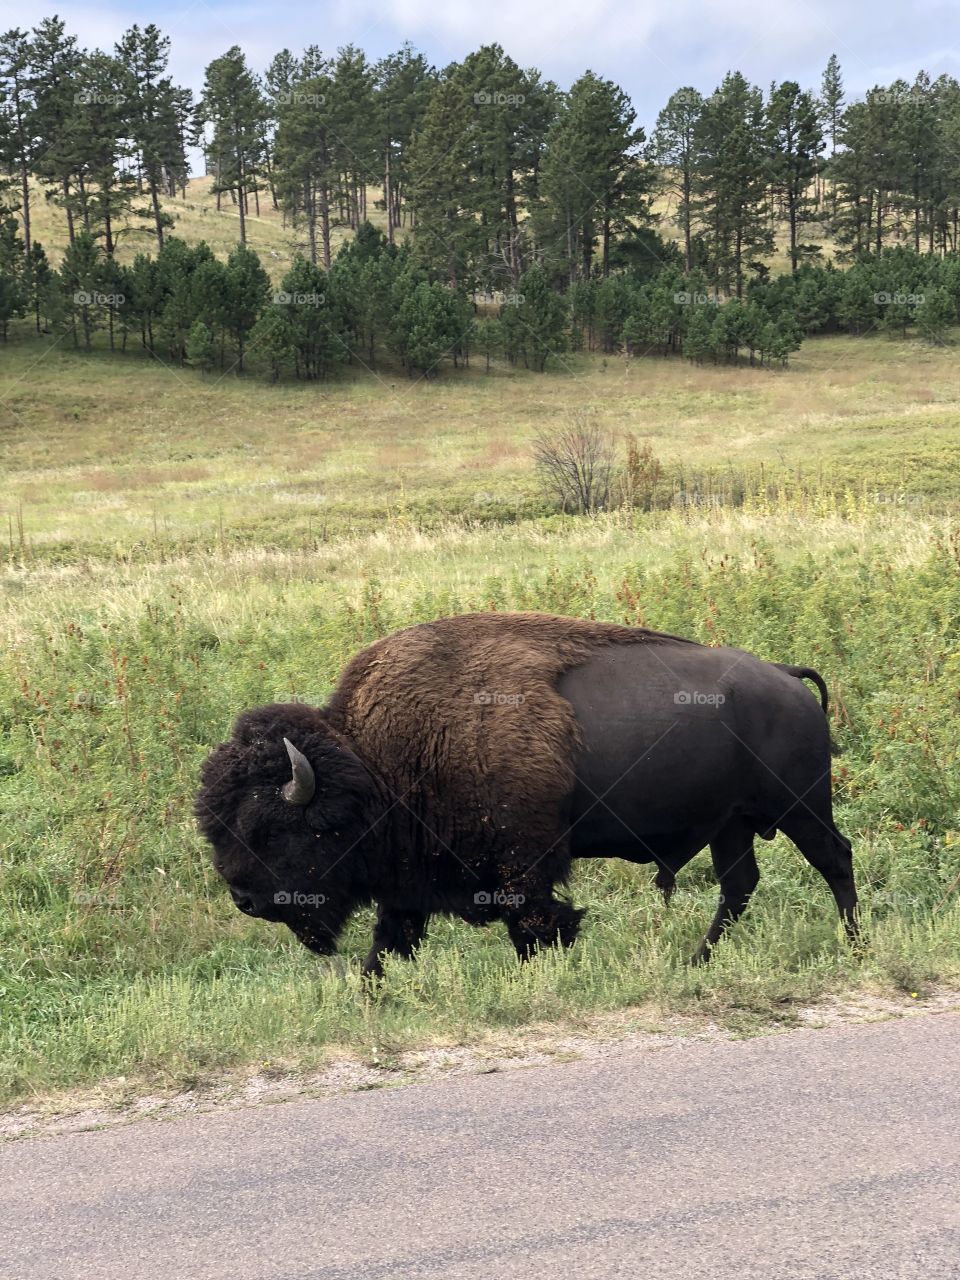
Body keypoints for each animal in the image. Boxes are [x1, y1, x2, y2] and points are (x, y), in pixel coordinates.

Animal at [196, 611, 858, 977]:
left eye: (269, 829)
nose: (244, 899)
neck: (375, 763)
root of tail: (786, 677)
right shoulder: (410, 880)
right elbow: (389, 941)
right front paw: (367, 994)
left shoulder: (524, 866)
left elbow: (535, 927)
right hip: (732, 823)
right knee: (739, 886)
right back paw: (695, 962)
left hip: (799, 808)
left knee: (834, 858)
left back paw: (854, 945)